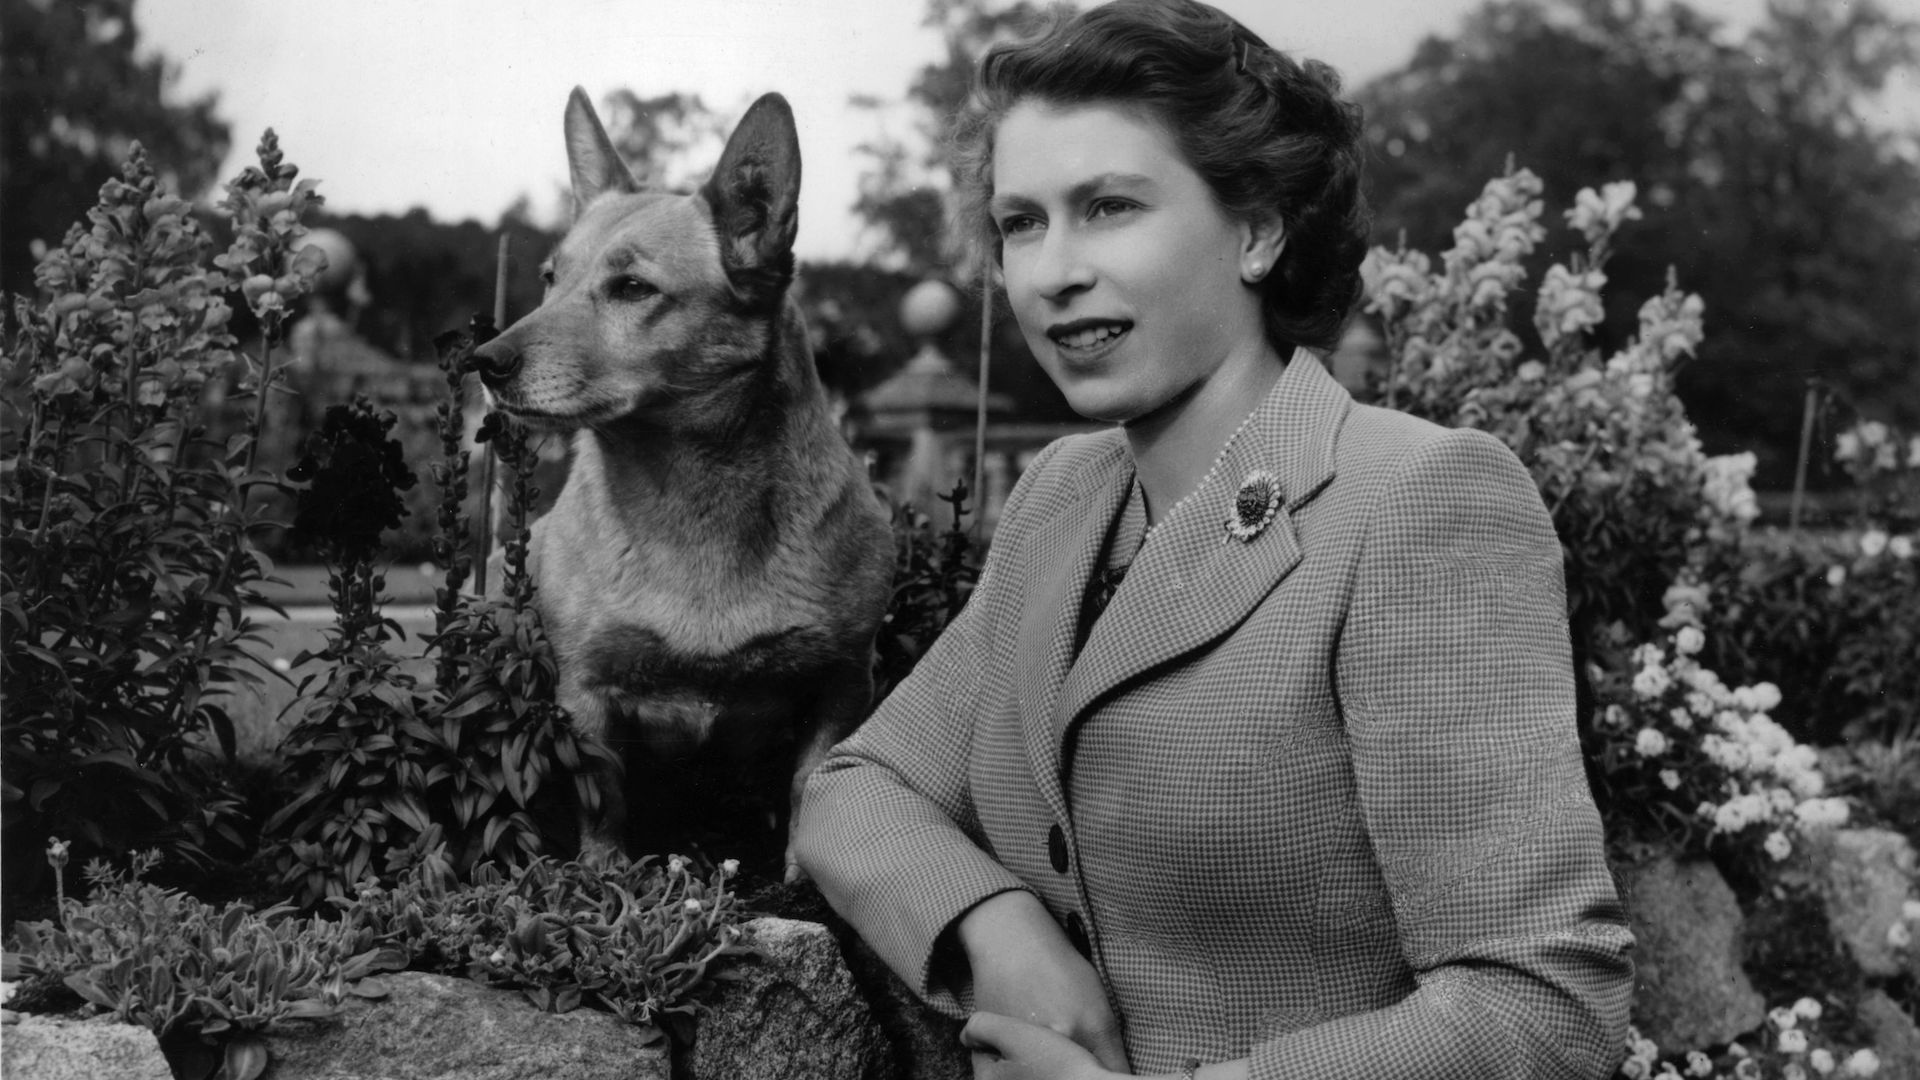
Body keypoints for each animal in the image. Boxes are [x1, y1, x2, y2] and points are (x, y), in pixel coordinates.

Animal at [480, 85, 898, 876]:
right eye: (550, 279)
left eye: (631, 288)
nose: (482, 362)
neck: (690, 494)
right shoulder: (585, 693)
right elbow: (603, 803)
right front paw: (604, 881)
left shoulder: (843, 682)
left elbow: (811, 786)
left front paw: (801, 880)